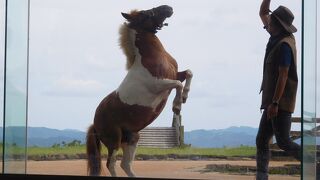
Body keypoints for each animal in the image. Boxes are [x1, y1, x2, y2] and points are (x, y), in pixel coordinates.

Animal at [85, 5, 194, 177]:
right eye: (145, 14)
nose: (168, 7)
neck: (149, 58)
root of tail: (95, 123)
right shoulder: (159, 84)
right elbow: (177, 84)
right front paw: (177, 106)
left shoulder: (175, 74)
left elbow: (188, 73)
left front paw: (184, 98)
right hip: (114, 141)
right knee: (111, 164)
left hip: (132, 138)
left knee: (125, 164)